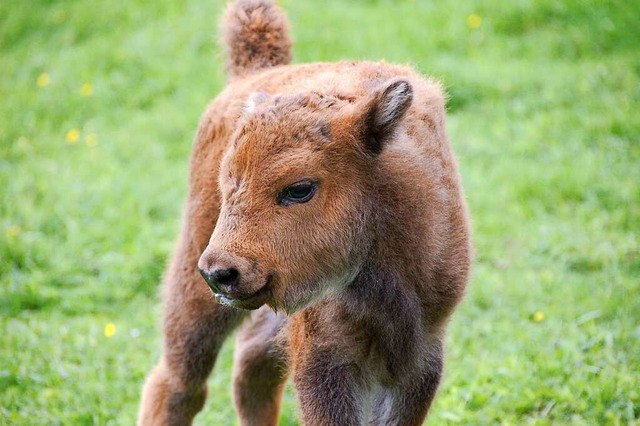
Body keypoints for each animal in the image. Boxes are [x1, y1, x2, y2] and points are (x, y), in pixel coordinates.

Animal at [139, 1, 470, 424]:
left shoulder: (421, 354)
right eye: (228, 184)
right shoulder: (324, 355)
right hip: (196, 288)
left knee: (251, 367)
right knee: (180, 383)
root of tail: (254, 74)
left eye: (299, 189)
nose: (220, 273)